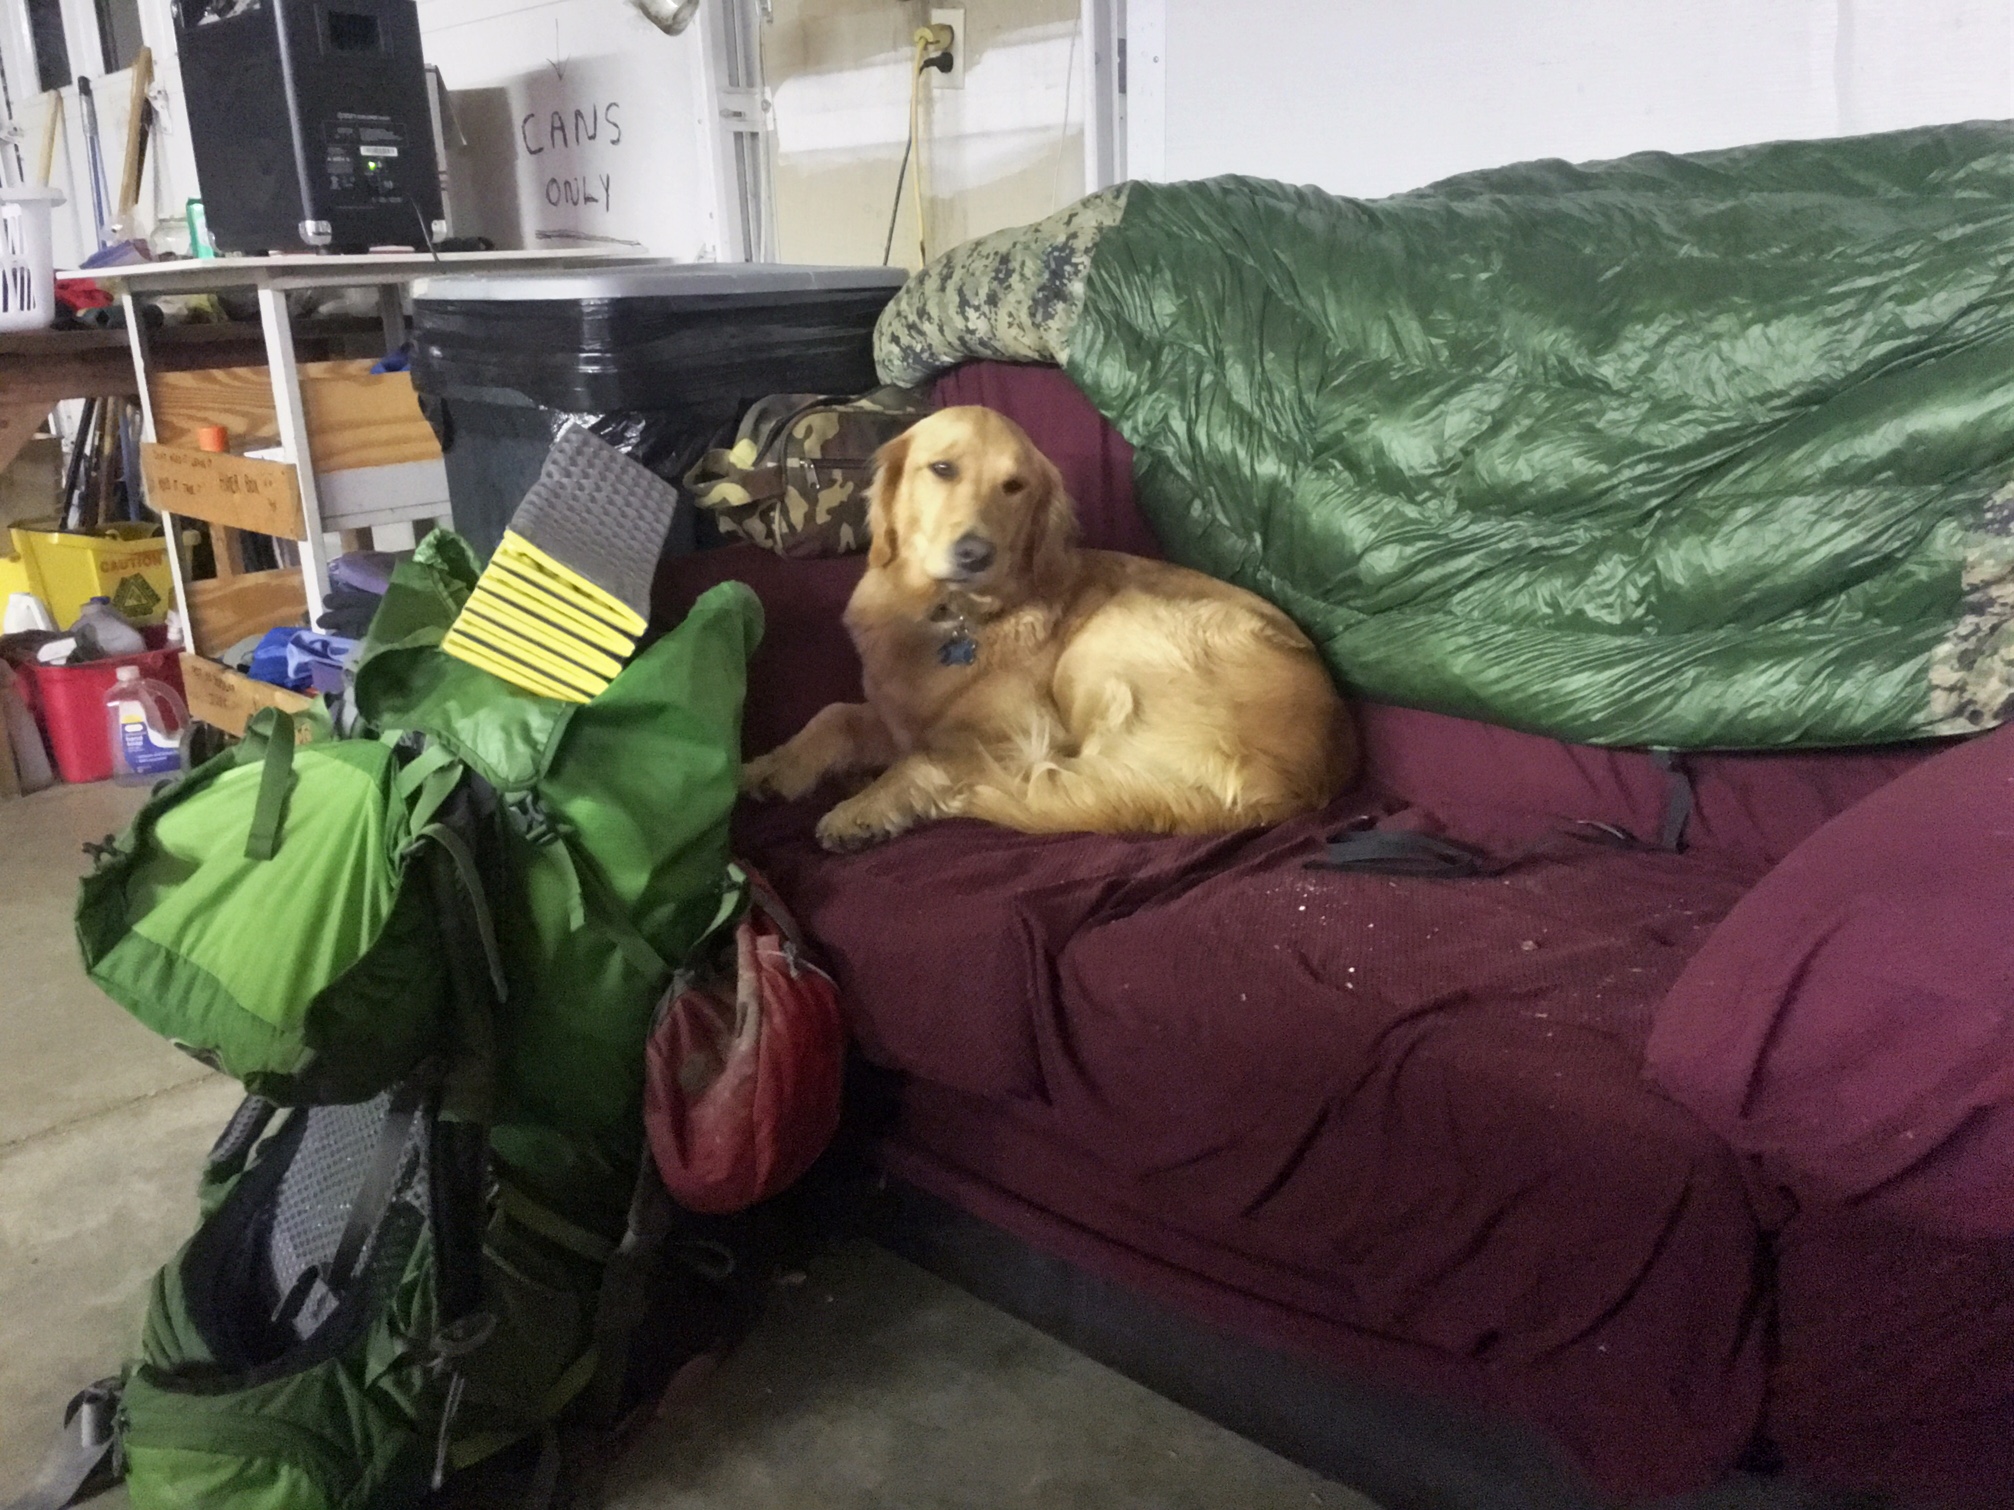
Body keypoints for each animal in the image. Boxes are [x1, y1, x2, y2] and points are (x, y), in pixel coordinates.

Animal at [740, 406, 1356, 850]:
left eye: (1014, 486)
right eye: (942, 469)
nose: (974, 554)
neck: (954, 617)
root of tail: (1296, 789)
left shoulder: (1014, 734)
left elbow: (928, 756)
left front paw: (860, 810)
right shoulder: (897, 715)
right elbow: (835, 714)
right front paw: (774, 766)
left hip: (1110, 639)